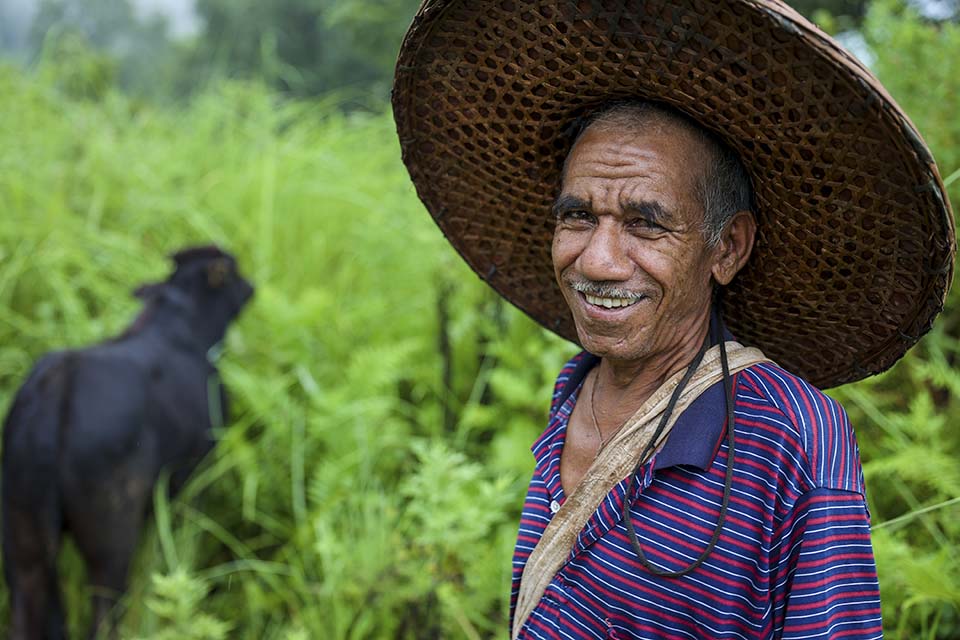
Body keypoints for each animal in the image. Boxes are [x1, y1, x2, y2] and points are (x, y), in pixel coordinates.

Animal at [0, 246, 255, 640]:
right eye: (233, 270)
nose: (251, 285)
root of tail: (56, 389)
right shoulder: (194, 478)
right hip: (111, 534)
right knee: (105, 615)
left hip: (21, 534)